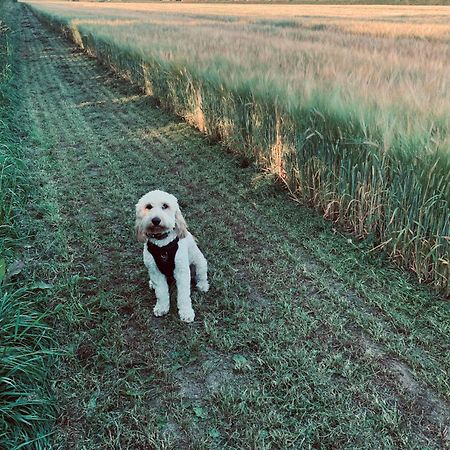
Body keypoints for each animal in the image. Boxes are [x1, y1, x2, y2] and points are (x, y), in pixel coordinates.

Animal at [134, 192, 210, 322]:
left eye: (165, 206)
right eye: (148, 206)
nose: (156, 220)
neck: (162, 244)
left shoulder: (181, 271)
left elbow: (183, 295)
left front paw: (186, 312)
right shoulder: (155, 271)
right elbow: (161, 292)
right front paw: (161, 308)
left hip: (200, 263)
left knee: (201, 276)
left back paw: (203, 285)